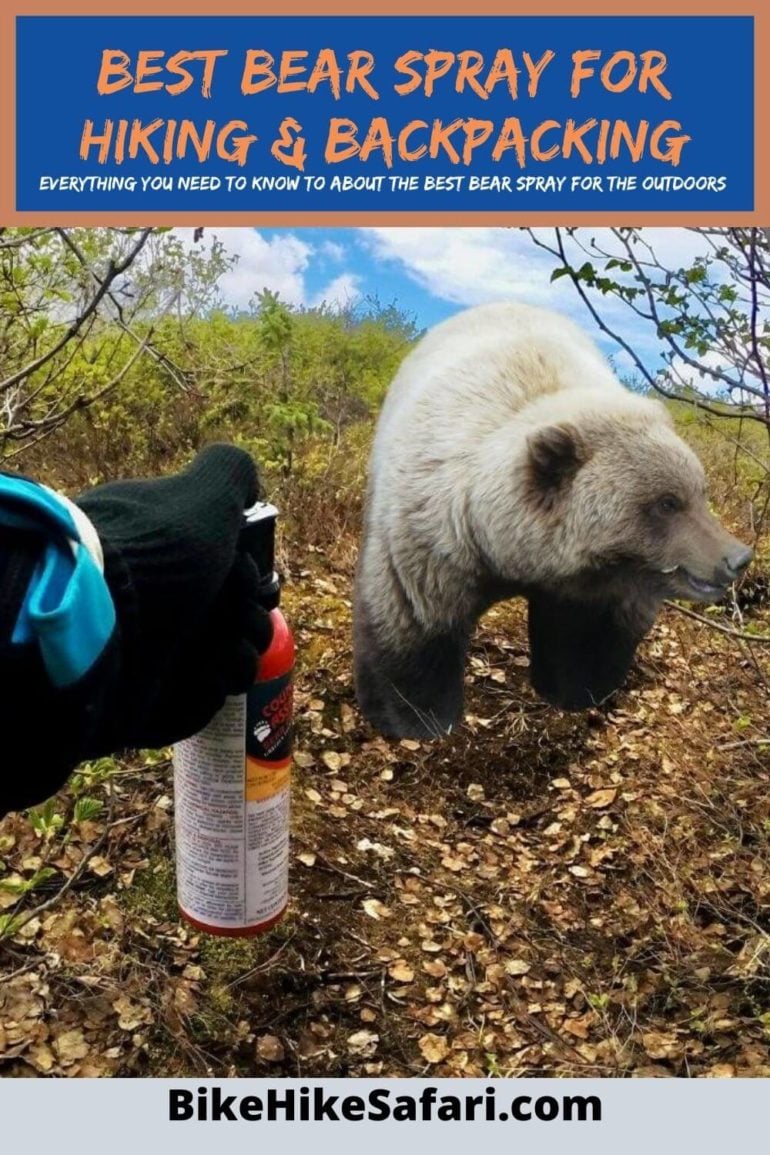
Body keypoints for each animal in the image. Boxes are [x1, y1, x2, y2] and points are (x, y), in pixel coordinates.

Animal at [353, 301, 752, 739]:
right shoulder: (432, 543)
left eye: (701, 492)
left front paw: (579, 691)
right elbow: (412, 625)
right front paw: (417, 719)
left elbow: (582, 637)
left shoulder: (593, 586)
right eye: (667, 503)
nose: (736, 558)